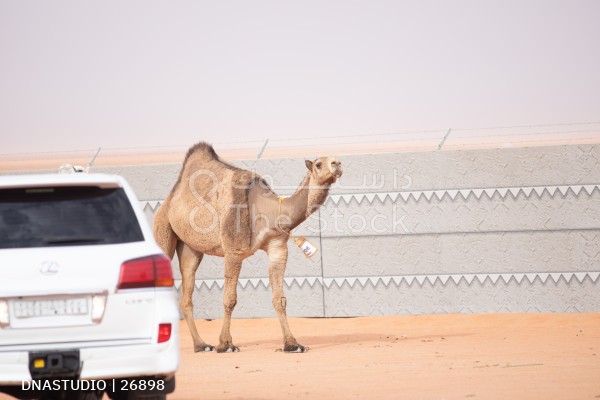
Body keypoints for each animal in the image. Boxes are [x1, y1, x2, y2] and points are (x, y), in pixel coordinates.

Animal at [154, 141, 342, 354]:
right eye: (318, 163)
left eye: (336, 160)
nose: (337, 164)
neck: (269, 211)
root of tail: (171, 198)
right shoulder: (233, 251)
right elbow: (230, 299)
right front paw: (225, 344)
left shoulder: (278, 247)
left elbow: (280, 299)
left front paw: (292, 344)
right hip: (162, 228)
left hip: (190, 247)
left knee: (186, 292)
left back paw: (201, 345)